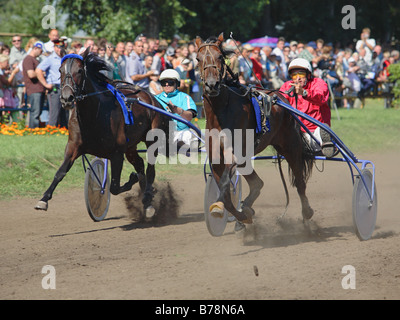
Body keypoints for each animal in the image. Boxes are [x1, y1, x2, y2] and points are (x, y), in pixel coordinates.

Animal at [34, 47, 170, 218]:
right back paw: (147, 202)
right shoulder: (73, 147)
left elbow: (114, 187)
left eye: (79, 70)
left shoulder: (117, 153)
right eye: (60, 70)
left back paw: (147, 197)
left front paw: (131, 179)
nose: (66, 98)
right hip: (130, 147)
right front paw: (43, 199)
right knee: (139, 163)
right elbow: (60, 172)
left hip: (152, 138)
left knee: (150, 170)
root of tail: (153, 98)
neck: (93, 115)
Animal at [195, 33, 314, 225]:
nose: (212, 85)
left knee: (300, 182)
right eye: (198, 59)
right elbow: (226, 195)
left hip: (291, 145)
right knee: (258, 183)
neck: (221, 113)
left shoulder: (235, 153)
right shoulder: (216, 157)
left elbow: (225, 183)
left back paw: (307, 212)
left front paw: (223, 208)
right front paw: (242, 215)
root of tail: (281, 96)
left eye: (220, 57)